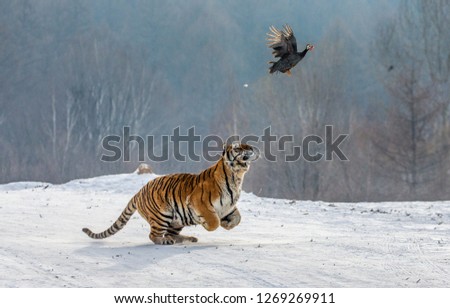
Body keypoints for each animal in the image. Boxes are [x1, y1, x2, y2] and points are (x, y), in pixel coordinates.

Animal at [82, 142, 258, 245]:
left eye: (247, 144)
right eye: (238, 147)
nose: (251, 148)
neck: (237, 176)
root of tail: (139, 192)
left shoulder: (228, 206)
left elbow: (238, 219)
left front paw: (226, 224)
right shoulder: (199, 202)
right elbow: (213, 222)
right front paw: (212, 224)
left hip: (177, 221)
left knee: (170, 233)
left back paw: (186, 239)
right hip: (162, 215)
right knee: (153, 235)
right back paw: (166, 241)